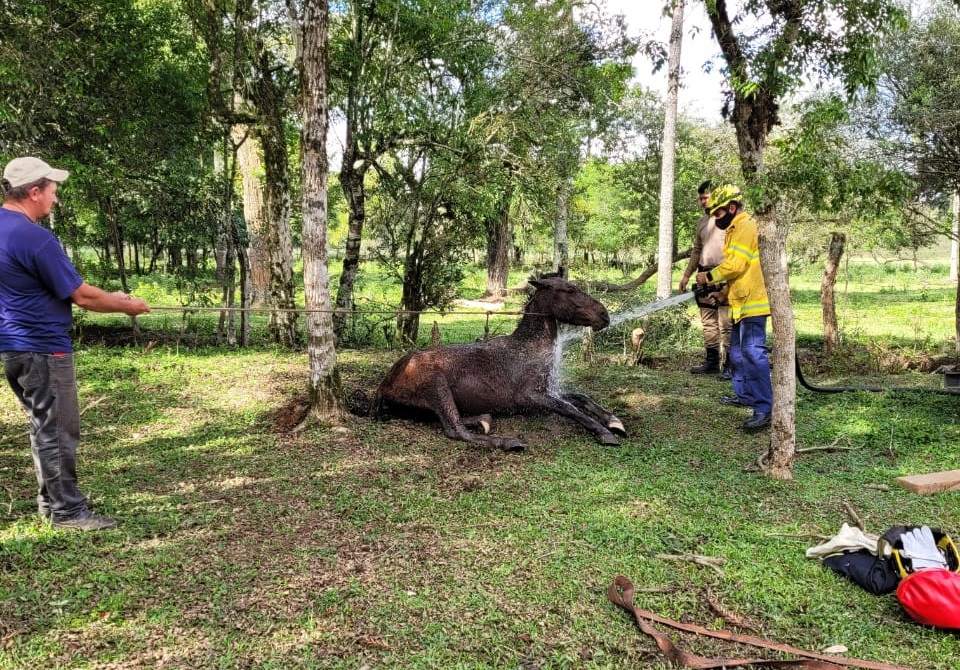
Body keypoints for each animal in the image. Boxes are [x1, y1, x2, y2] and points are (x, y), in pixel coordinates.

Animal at [370, 278, 632, 452]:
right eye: (569, 290)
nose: (604, 315)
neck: (528, 348)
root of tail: (384, 385)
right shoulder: (530, 396)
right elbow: (570, 408)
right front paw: (605, 432)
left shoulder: (547, 392)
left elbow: (580, 398)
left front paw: (614, 421)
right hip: (436, 385)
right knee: (454, 429)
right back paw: (508, 441)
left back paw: (484, 421)